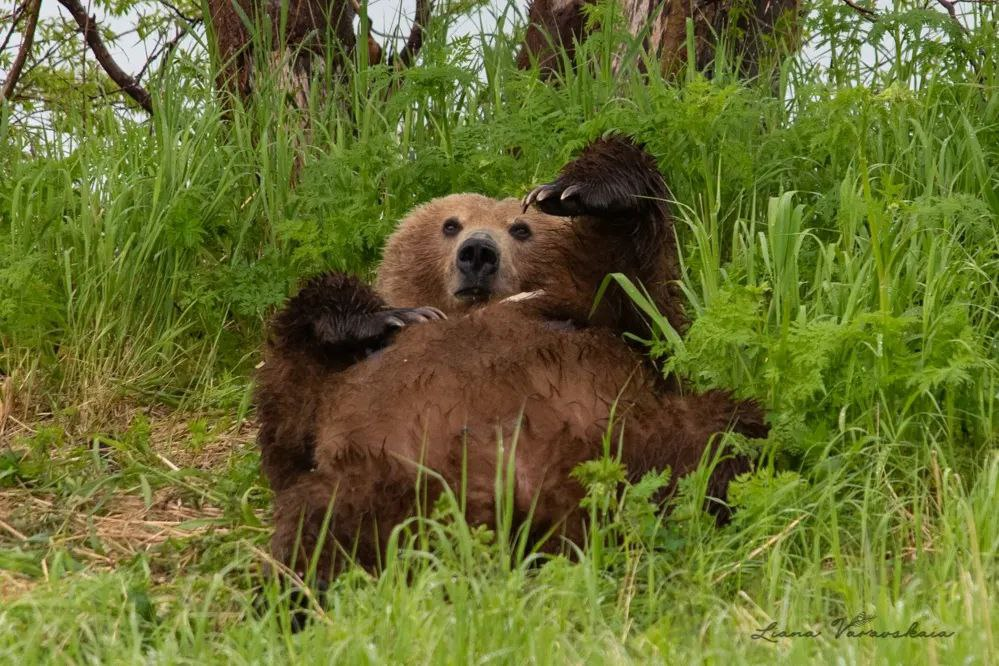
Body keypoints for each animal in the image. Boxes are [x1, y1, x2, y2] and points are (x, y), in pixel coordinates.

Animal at [256, 136, 764, 580]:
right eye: (450, 224)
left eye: (521, 227)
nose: (478, 252)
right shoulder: (344, 382)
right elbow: (289, 420)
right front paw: (382, 317)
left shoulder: (600, 320)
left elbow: (651, 300)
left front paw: (573, 189)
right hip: (390, 476)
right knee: (322, 517)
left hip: (633, 437)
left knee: (723, 433)